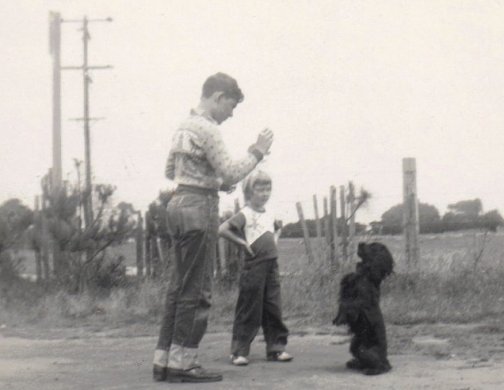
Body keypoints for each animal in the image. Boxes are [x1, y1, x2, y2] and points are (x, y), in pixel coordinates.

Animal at [332, 241, 396, 374]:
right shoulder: (346, 289)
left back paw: (371, 370)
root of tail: (385, 359)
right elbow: (342, 303)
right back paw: (355, 363)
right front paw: (337, 318)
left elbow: (346, 305)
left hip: (365, 350)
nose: (360, 243)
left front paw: (340, 319)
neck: (367, 275)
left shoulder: (360, 302)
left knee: (383, 367)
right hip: (355, 344)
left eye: (372, 246)